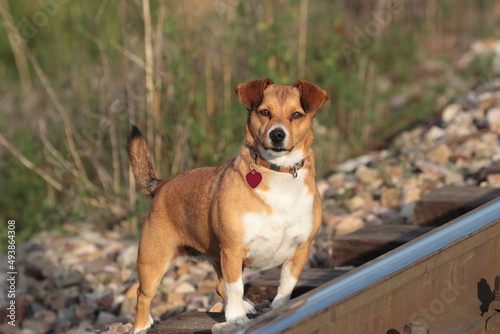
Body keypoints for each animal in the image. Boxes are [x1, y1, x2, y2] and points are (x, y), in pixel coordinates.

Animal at [127, 77, 326, 332]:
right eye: (264, 112)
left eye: (296, 115)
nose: (277, 135)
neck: (278, 171)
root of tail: (163, 184)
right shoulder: (232, 251)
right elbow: (235, 287)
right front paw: (235, 318)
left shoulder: (301, 249)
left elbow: (286, 285)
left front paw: (279, 309)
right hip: (153, 263)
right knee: (143, 296)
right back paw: (142, 326)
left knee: (219, 286)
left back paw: (247, 306)